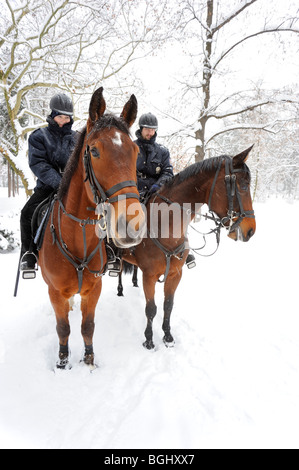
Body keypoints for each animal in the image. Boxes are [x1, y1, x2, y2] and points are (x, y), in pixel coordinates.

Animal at [38, 86, 146, 370]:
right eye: (94, 151)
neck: (78, 238)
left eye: (135, 151)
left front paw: (88, 361)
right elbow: (63, 328)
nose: (133, 225)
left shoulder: (93, 290)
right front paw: (63, 363)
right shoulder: (55, 292)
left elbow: (88, 327)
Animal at [120, 147, 256, 348]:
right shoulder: (150, 276)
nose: (251, 230)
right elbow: (151, 309)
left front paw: (168, 336)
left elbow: (168, 305)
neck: (164, 225)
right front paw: (149, 340)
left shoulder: (175, 274)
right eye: (244, 186)